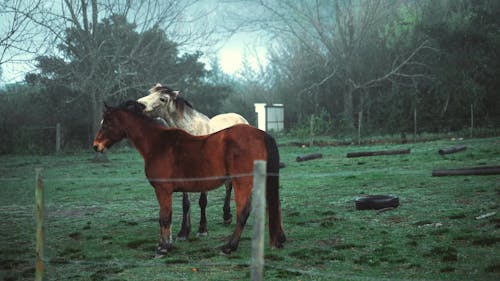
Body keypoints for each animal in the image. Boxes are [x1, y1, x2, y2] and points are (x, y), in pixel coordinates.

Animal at [93, 100, 286, 254]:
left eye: (107, 123)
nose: (96, 146)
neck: (158, 144)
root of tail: (262, 135)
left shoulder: (163, 190)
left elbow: (164, 217)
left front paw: (163, 247)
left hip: (242, 183)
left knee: (243, 213)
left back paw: (229, 246)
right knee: (271, 206)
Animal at [137, 83, 248, 238]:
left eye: (163, 99)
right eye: (149, 93)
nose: (139, 104)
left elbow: (203, 201)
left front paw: (202, 230)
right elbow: (186, 203)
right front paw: (184, 231)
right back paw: (227, 217)